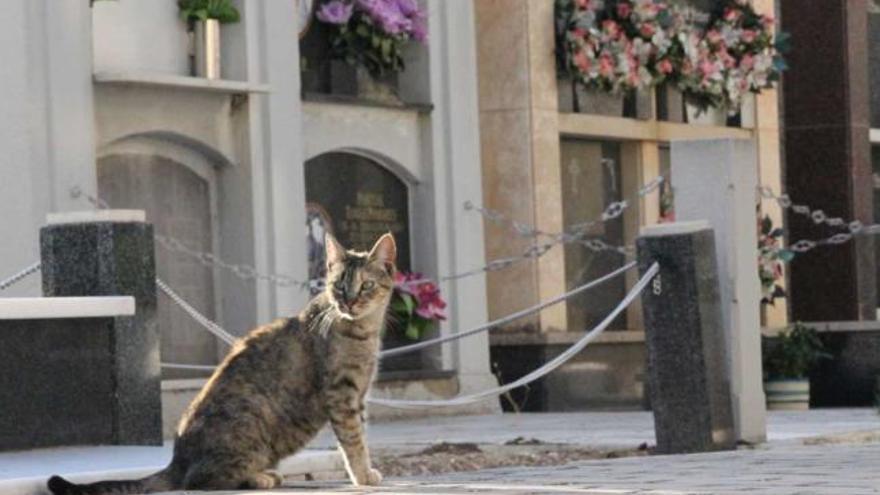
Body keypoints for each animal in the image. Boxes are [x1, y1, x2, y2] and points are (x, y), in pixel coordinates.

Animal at [44, 233, 396, 495]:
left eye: (366, 286)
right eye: (338, 285)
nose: (348, 302)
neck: (363, 332)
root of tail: (177, 460)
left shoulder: (359, 395)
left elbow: (360, 436)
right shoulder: (342, 394)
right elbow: (353, 441)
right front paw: (363, 476)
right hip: (252, 418)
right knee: (199, 481)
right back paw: (260, 477)